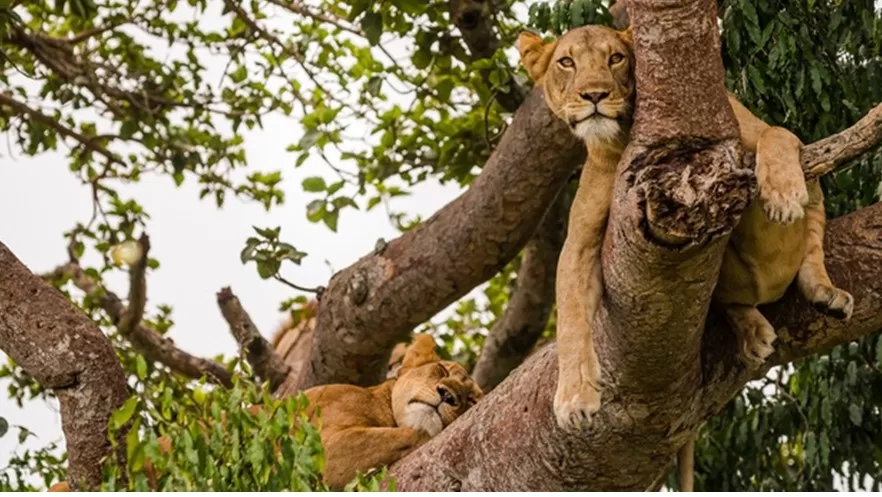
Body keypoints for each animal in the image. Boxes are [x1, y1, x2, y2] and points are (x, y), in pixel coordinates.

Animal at [516, 22, 852, 484]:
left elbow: (777, 135)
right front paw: (573, 398)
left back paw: (824, 292)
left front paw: (783, 194)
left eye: (616, 58)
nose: (595, 94)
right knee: (731, 299)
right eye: (566, 62)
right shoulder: (579, 244)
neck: (621, 140)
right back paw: (753, 330)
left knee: (811, 240)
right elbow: (569, 316)